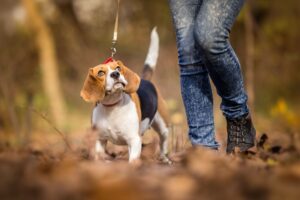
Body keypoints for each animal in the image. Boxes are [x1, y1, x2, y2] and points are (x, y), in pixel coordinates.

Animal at [79, 28, 171, 163]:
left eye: (118, 68)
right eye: (100, 73)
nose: (115, 74)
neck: (112, 106)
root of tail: (144, 80)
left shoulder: (134, 140)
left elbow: (132, 161)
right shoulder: (100, 139)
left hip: (162, 126)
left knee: (163, 141)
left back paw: (164, 158)